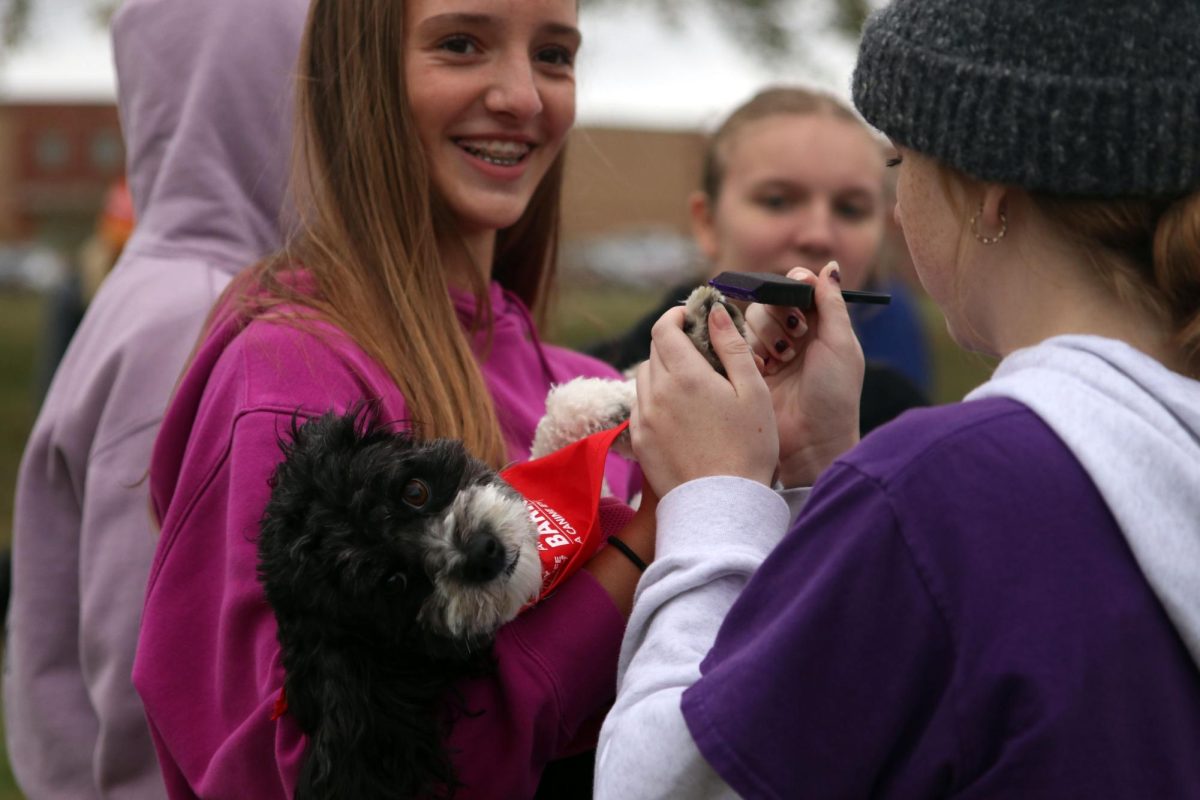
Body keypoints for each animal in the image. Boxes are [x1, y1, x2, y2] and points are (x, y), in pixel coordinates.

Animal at [255, 284, 739, 796]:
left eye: (413, 491)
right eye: (394, 583)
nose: (483, 551)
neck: (557, 547)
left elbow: (559, 417)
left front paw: (660, 371)